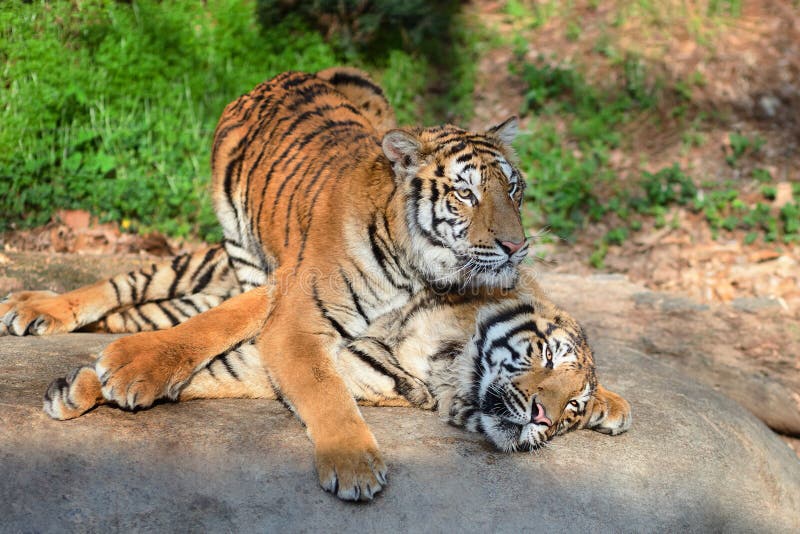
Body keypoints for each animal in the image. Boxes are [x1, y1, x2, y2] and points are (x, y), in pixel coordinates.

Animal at [1, 67, 632, 502]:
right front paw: (354, 465)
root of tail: (293, 74)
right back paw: (34, 308)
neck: (421, 281)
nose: (516, 247)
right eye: (466, 193)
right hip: (234, 251)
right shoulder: (292, 307)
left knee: (151, 309)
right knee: (126, 288)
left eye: (515, 190)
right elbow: (315, 386)